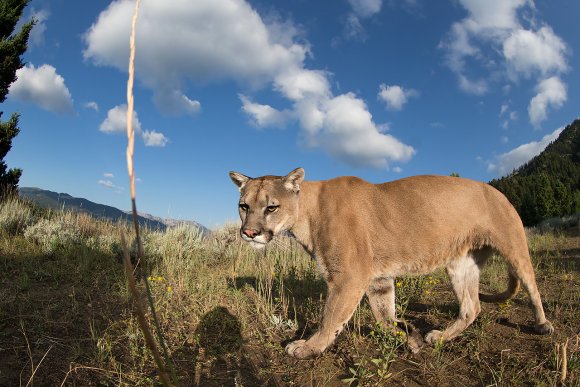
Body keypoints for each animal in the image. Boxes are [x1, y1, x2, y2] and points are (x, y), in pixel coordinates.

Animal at [229, 169, 552, 360]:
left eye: (272, 207)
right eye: (244, 205)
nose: (249, 232)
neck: (306, 213)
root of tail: (498, 191)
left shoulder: (349, 276)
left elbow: (330, 317)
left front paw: (308, 347)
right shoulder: (377, 278)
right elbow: (384, 315)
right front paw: (407, 338)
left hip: (513, 248)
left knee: (532, 286)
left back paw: (542, 324)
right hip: (460, 264)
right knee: (472, 306)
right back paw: (439, 337)